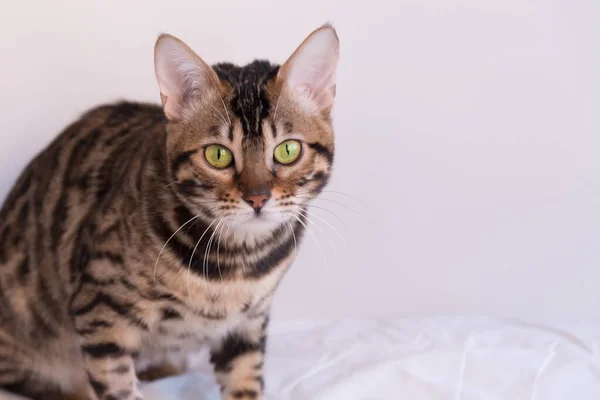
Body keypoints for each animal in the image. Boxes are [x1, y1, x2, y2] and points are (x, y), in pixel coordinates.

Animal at [0, 23, 338, 398]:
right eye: (218, 155)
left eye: (288, 150)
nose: (258, 197)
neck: (237, 264)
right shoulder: (99, 309)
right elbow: (118, 386)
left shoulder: (248, 324)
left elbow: (244, 381)